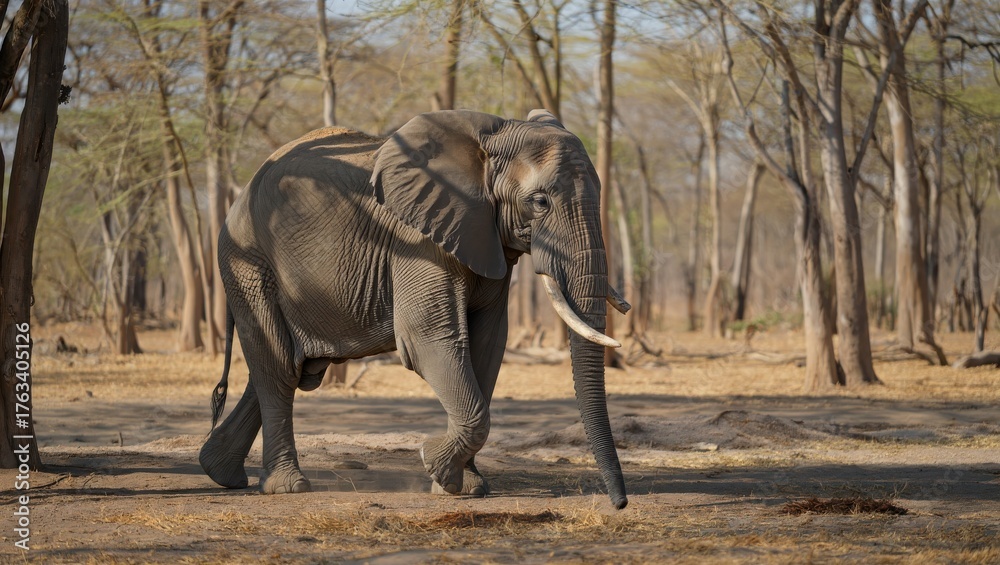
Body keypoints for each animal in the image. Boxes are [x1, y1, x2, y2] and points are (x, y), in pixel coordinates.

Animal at [199, 109, 631, 509]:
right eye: (540, 202)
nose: (620, 503)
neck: (491, 137)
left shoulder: (484, 234)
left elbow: (488, 343)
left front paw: (464, 487)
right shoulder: (419, 239)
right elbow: (428, 337)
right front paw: (435, 465)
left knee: (288, 367)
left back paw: (221, 473)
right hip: (248, 263)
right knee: (278, 367)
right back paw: (288, 487)